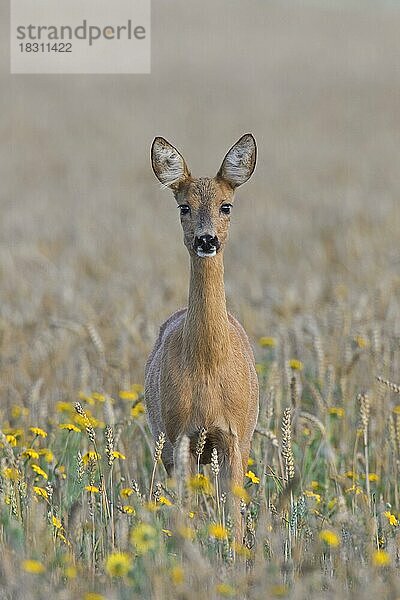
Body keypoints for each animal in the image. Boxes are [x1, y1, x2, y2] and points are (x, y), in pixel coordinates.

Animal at [145, 135, 260, 536]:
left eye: (226, 206)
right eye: (184, 207)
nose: (206, 239)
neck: (209, 366)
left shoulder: (235, 436)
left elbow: (235, 517)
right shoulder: (179, 435)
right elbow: (184, 511)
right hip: (168, 443)